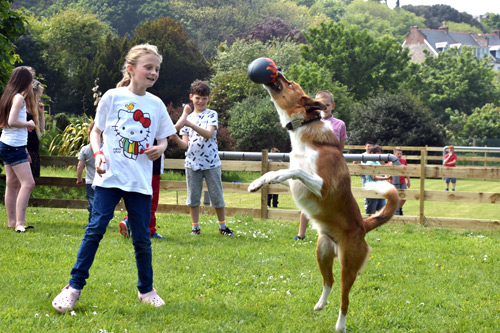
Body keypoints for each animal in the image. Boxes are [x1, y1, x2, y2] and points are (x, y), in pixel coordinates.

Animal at [249, 72, 398, 330]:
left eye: (290, 84)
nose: (279, 71)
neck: (305, 132)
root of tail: (363, 225)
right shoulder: (297, 184)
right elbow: (279, 172)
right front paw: (258, 182)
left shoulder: (323, 186)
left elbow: (293, 171)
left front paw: (273, 176)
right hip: (322, 251)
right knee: (329, 281)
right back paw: (320, 304)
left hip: (348, 265)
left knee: (345, 298)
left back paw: (340, 325)